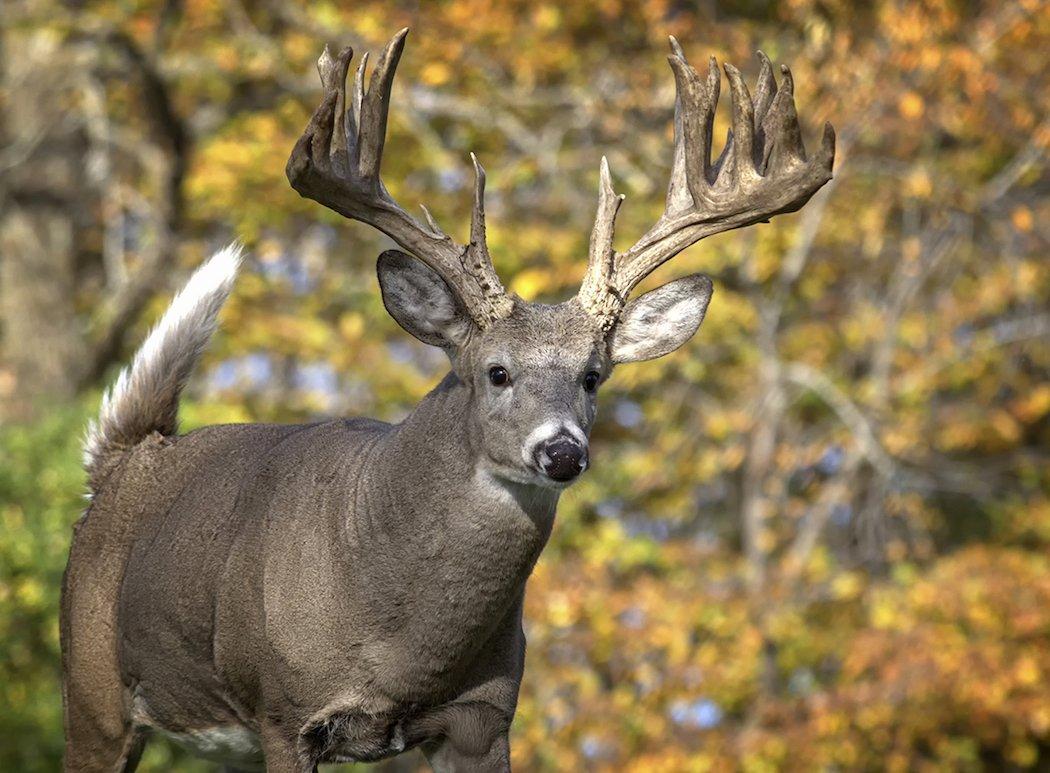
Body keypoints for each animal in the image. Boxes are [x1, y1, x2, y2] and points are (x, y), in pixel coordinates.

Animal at [60, 28, 833, 773]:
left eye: (593, 375)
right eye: (495, 371)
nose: (561, 451)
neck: (402, 644)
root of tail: (126, 457)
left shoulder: (483, 717)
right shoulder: (284, 711)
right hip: (92, 693)